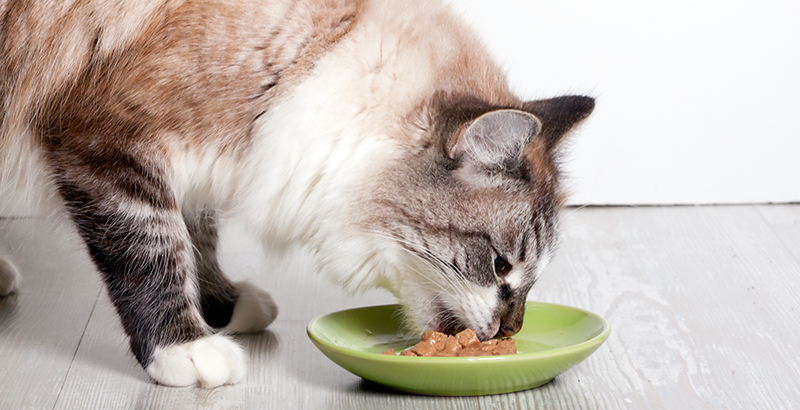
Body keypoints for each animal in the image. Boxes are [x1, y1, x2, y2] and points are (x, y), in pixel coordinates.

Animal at [0, 0, 592, 388]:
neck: (310, 58)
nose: (509, 331)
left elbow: (198, 236)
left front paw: (222, 305)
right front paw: (185, 347)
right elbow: (155, 249)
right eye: (499, 266)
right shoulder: (104, 140)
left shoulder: (200, 167)